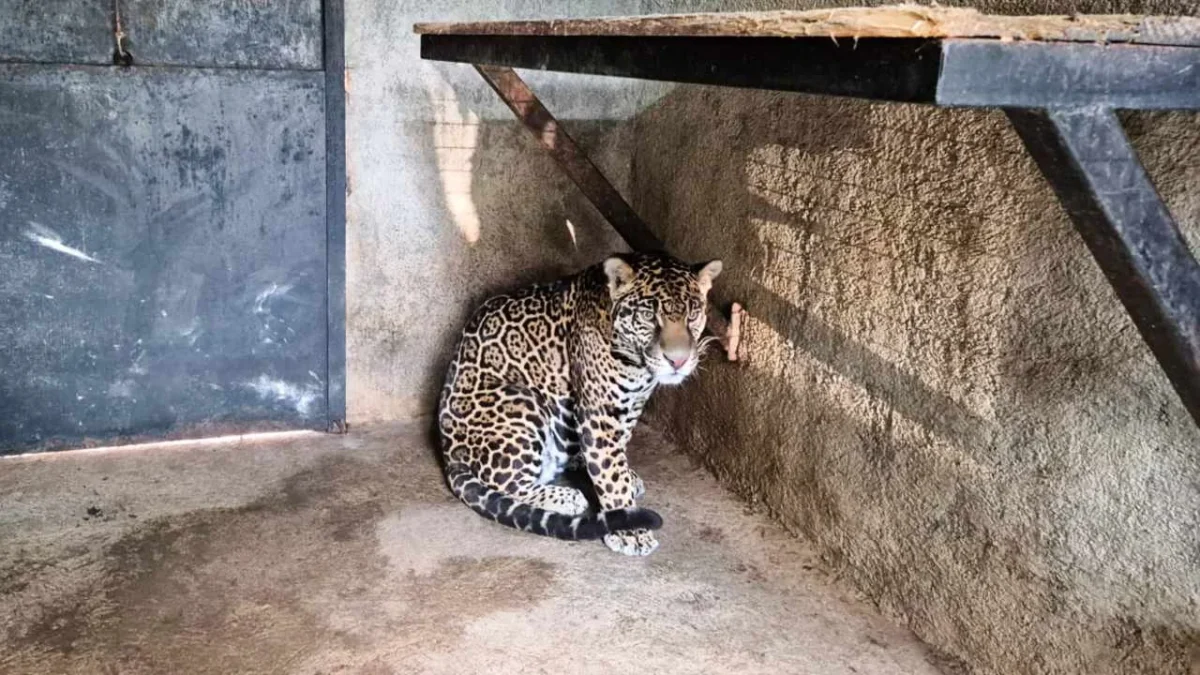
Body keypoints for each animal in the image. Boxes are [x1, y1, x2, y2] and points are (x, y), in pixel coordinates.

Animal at [437, 251, 723, 556]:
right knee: (507, 484)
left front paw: (625, 479)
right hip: (522, 400)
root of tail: (449, 454)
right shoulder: (599, 413)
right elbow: (610, 471)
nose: (678, 361)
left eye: (693, 314)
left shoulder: (632, 404)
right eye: (648, 316)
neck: (638, 366)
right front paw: (630, 531)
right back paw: (566, 496)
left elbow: (618, 450)